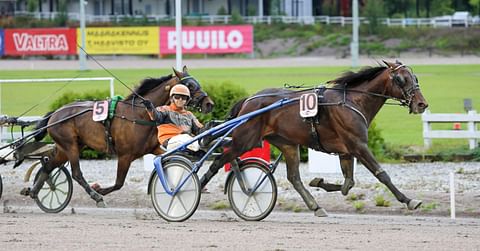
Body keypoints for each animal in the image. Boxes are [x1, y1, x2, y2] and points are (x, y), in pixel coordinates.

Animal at [27, 66, 212, 206]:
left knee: (48, 165)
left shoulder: (153, 148)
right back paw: (96, 196)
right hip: (70, 145)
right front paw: (100, 190)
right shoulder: (125, 155)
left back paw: (33, 192)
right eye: (189, 85)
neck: (140, 115)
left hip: (68, 147)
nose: (209, 104)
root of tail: (55, 113)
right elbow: (118, 183)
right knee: (76, 173)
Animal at [199, 60, 428, 216]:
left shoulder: (346, 150)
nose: (421, 104)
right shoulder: (358, 145)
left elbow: (348, 184)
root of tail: (249, 100)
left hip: (286, 144)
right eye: (400, 79)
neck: (352, 101)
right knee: (219, 160)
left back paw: (316, 206)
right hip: (245, 139)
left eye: (415, 77)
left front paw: (320, 181)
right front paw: (409, 200)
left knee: (294, 177)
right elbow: (382, 174)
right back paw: (196, 185)